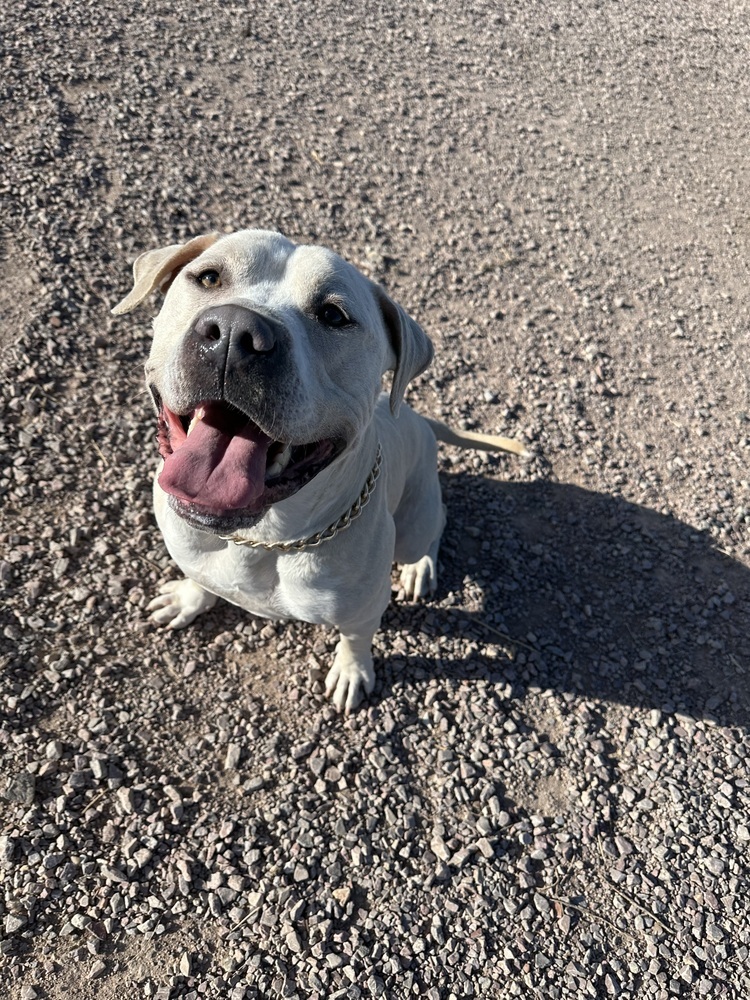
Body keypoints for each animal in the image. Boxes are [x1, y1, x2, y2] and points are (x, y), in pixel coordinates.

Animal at [113, 229, 524, 712]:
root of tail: (421, 420)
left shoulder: (364, 609)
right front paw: (188, 597)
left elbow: (355, 639)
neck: (262, 538)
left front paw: (351, 671)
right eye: (209, 277)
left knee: (432, 528)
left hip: (415, 521)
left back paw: (419, 567)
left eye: (333, 314)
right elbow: (202, 579)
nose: (235, 331)